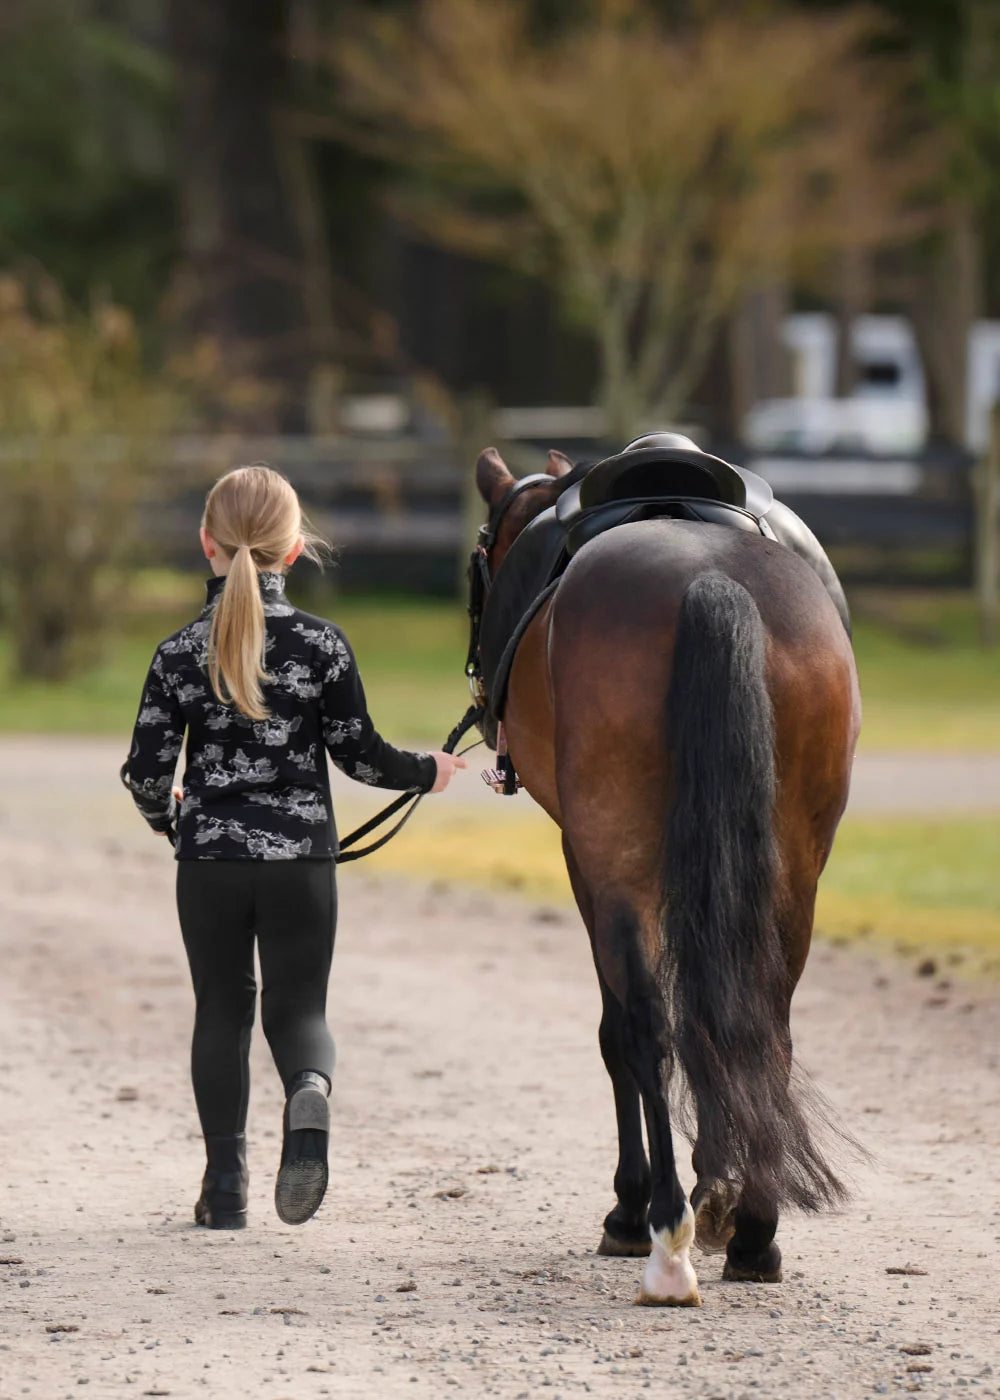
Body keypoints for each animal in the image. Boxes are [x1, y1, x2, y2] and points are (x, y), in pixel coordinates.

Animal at [470, 443, 860, 1306]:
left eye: (481, 558)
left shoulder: (584, 865)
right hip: (795, 867)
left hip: (616, 856)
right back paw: (753, 1232)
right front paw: (723, 1193)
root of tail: (707, 580)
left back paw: (665, 1234)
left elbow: (619, 1030)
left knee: (647, 1027)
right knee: (763, 1020)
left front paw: (629, 1208)